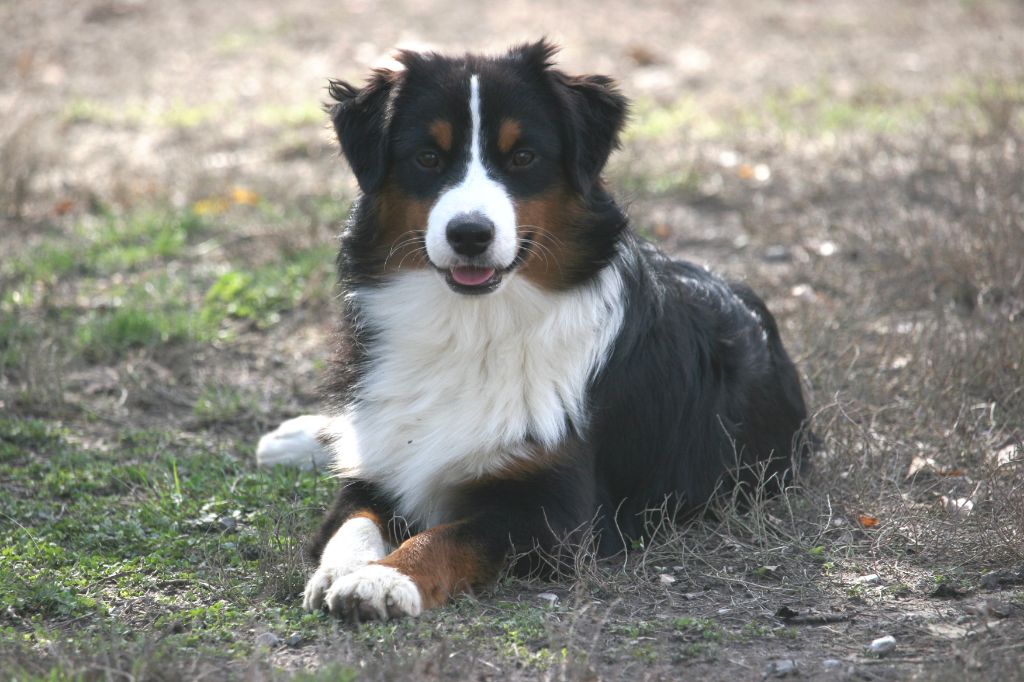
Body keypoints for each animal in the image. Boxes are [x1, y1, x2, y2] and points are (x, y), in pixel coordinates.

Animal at [256, 40, 811, 620]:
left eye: (523, 157)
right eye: (428, 157)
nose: (470, 234)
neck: (472, 325)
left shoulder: (556, 511)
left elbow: (448, 536)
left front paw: (384, 579)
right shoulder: (382, 464)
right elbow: (352, 519)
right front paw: (339, 568)